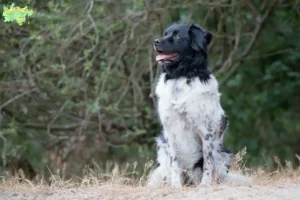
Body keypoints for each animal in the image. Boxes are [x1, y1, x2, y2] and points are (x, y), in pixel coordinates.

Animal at [147, 23, 232, 188]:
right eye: (165, 34)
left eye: (177, 36)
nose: (155, 41)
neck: (181, 76)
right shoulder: (170, 131)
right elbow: (174, 163)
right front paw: (175, 186)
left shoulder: (206, 131)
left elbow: (208, 162)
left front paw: (205, 185)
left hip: (224, 152)